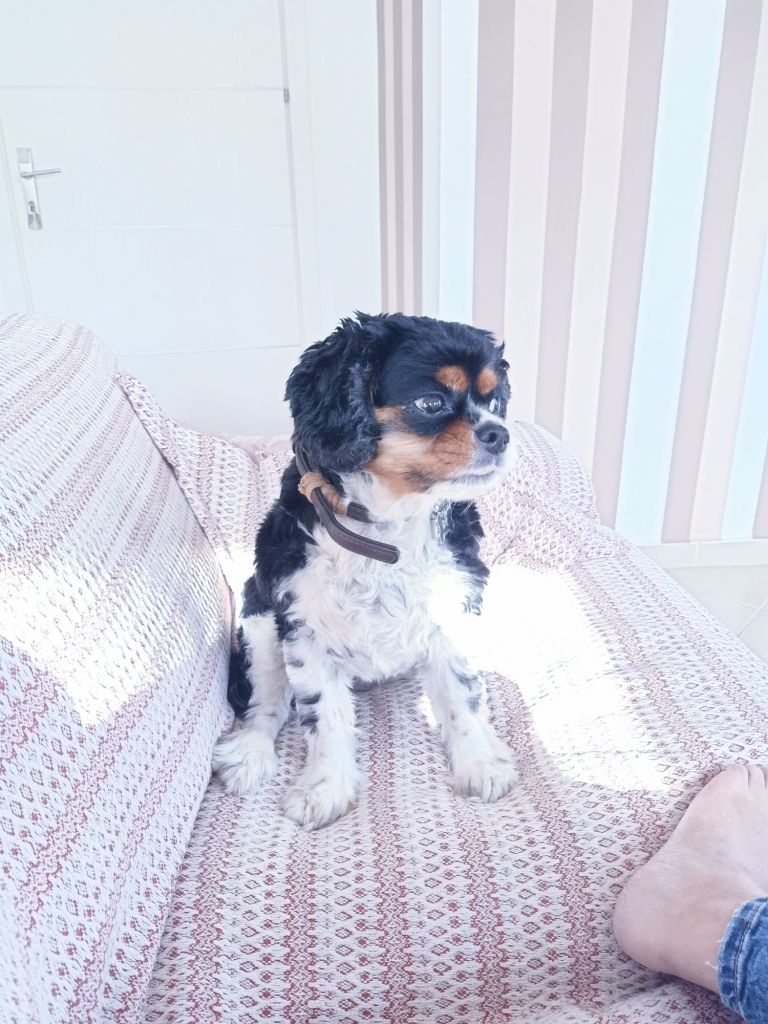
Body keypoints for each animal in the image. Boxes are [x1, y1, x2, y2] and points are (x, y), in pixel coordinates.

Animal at [212, 313, 519, 829]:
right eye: (431, 402)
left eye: (495, 403)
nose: (501, 434)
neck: (387, 529)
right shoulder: (304, 629)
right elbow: (325, 717)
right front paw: (326, 788)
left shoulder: (453, 610)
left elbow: (462, 696)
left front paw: (479, 764)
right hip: (259, 622)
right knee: (266, 705)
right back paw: (250, 754)